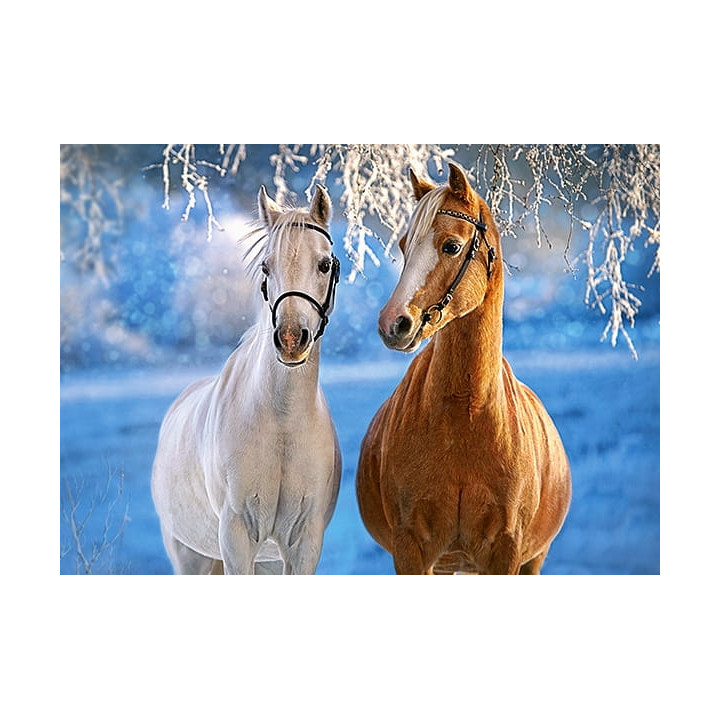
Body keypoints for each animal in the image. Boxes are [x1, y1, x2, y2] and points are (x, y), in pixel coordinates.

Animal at [152, 184, 342, 574]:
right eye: (266, 266)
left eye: (324, 264)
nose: (290, 339)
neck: (282, 423)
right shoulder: (237, 538)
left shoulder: (303, 543)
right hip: (190, 557)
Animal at [356, 162, 571, 575]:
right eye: (404, 245)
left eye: (451, 246)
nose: (393, 324)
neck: (464, 416)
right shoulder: (410, 550)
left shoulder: (506, 552)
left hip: (533, 560)